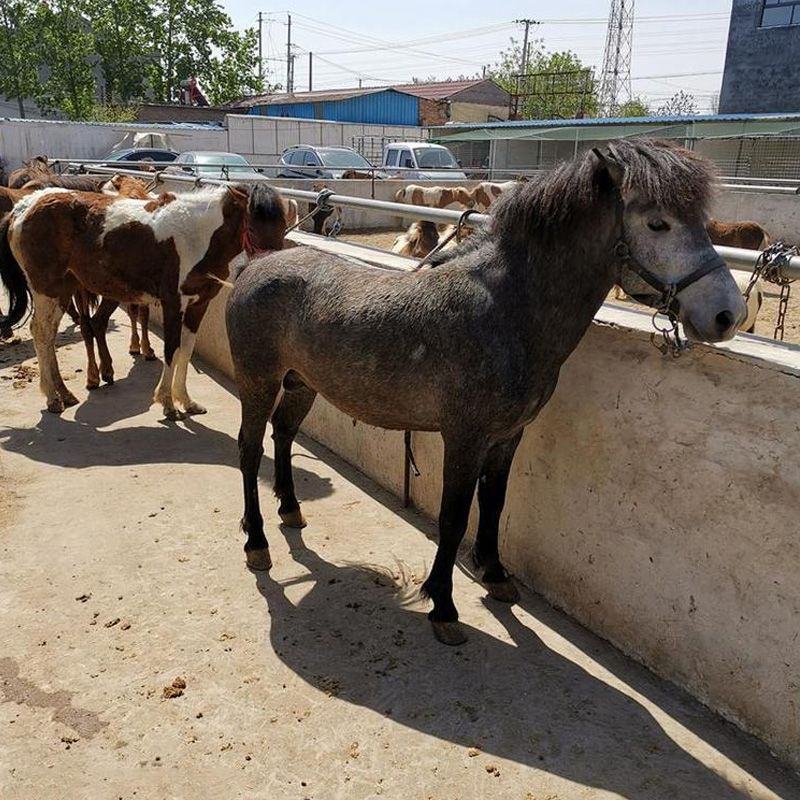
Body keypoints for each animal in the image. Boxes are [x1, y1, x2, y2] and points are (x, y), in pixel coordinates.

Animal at [0, 183, 285, 418]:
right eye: (255, 223)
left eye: (281, 224)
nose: (275, 267)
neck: (197, 235)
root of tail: (23, 208)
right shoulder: (174, 304)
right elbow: (171, 348)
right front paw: (168, 404)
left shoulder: (198, 305)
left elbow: (186, 350)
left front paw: (187, 401)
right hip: (46, 290)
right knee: (41, 332)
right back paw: (52, 398)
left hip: (62, 291)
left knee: (49, 334)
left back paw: (65, 394)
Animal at [225, 139, 747, 646]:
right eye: (658, 223)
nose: (728, 315)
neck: (506, 312)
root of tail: (260, 264)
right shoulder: (465, 437)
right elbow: (454, 517)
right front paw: (443, 606)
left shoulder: (507, 436)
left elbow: (494, 503)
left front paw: (495, 576)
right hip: (258, 382)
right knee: (250, 450)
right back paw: (257, 542)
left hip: (301, 384)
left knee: (283, 435)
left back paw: (291, 511)